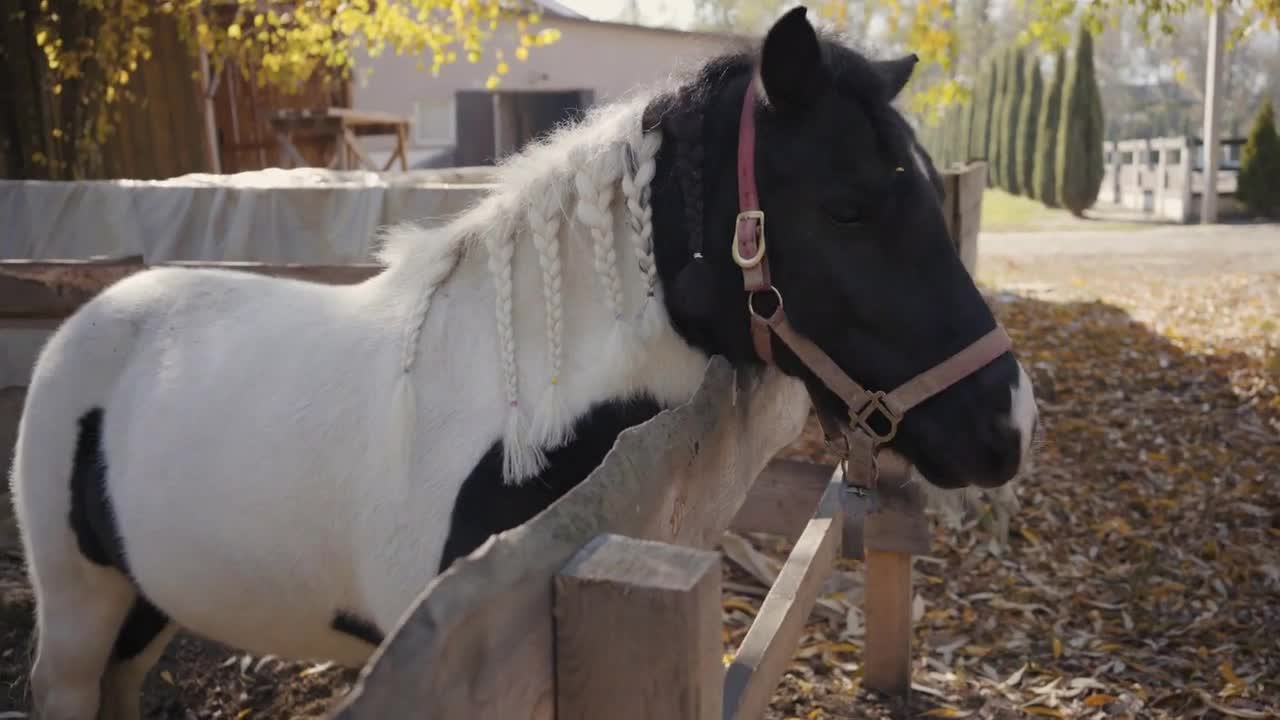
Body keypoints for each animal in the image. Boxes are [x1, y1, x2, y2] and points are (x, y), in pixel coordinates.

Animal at [10, 7, 1034, 717]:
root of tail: (96, 310)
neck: (512, 421)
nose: (1010, 422)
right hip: (77, 611)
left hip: (142, 608)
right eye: (851, 207)